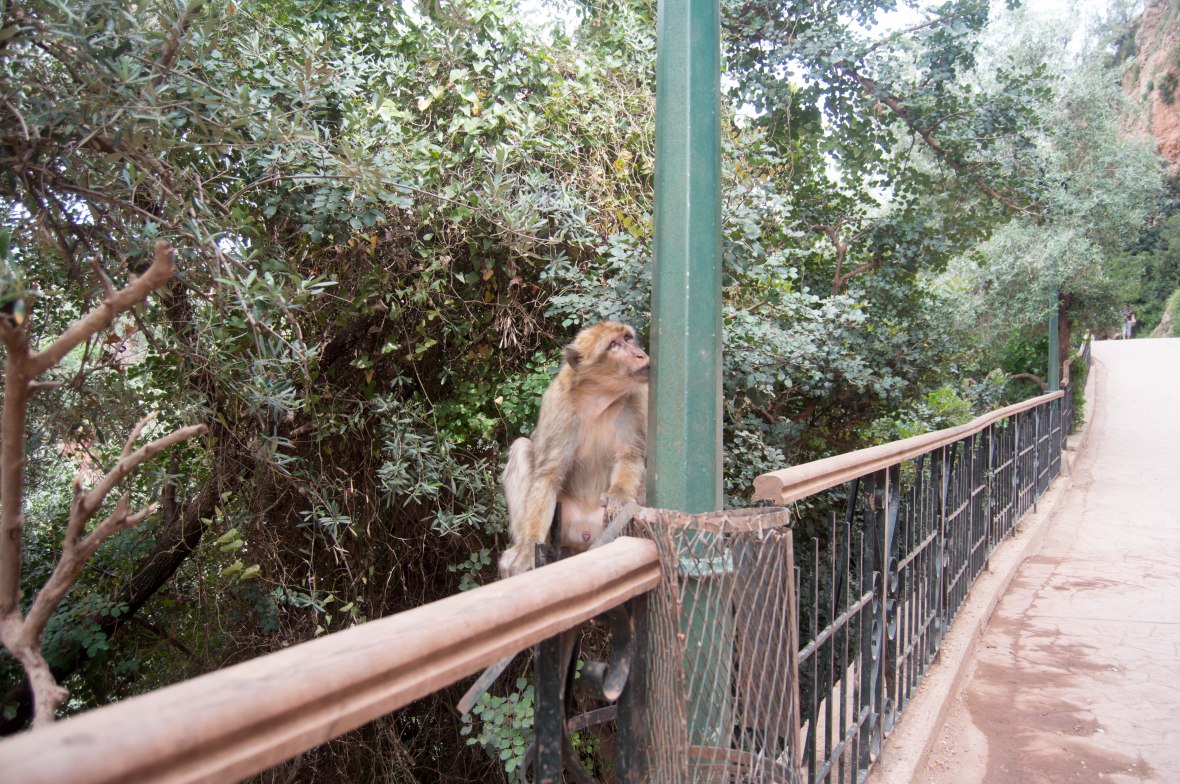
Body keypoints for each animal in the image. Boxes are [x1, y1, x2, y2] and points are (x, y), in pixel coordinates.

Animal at [499, 321, 649, 578]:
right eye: (614, 344)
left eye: (628, 338)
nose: (640, 354)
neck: (599, 397)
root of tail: (584, 532)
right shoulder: (558, 404)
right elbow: (549, 476)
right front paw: (527, 548)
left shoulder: (636, 398)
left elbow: (630, 455)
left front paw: (619, 495)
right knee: (521, 448)